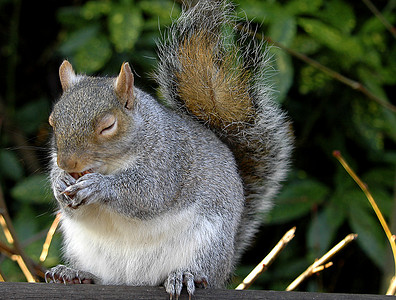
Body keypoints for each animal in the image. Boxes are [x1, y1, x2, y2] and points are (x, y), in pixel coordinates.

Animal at [47, 0, 294, 296]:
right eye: (52, 121)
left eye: (108, 126)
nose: (67, 164)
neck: (112, 164)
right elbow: (72, 207)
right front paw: (59, 183)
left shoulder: (170, 159)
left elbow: (150, 193)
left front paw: (98, 186)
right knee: (101, 279)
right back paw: (75, 274)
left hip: (207, 242)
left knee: (200, 272)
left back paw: (186, 276)